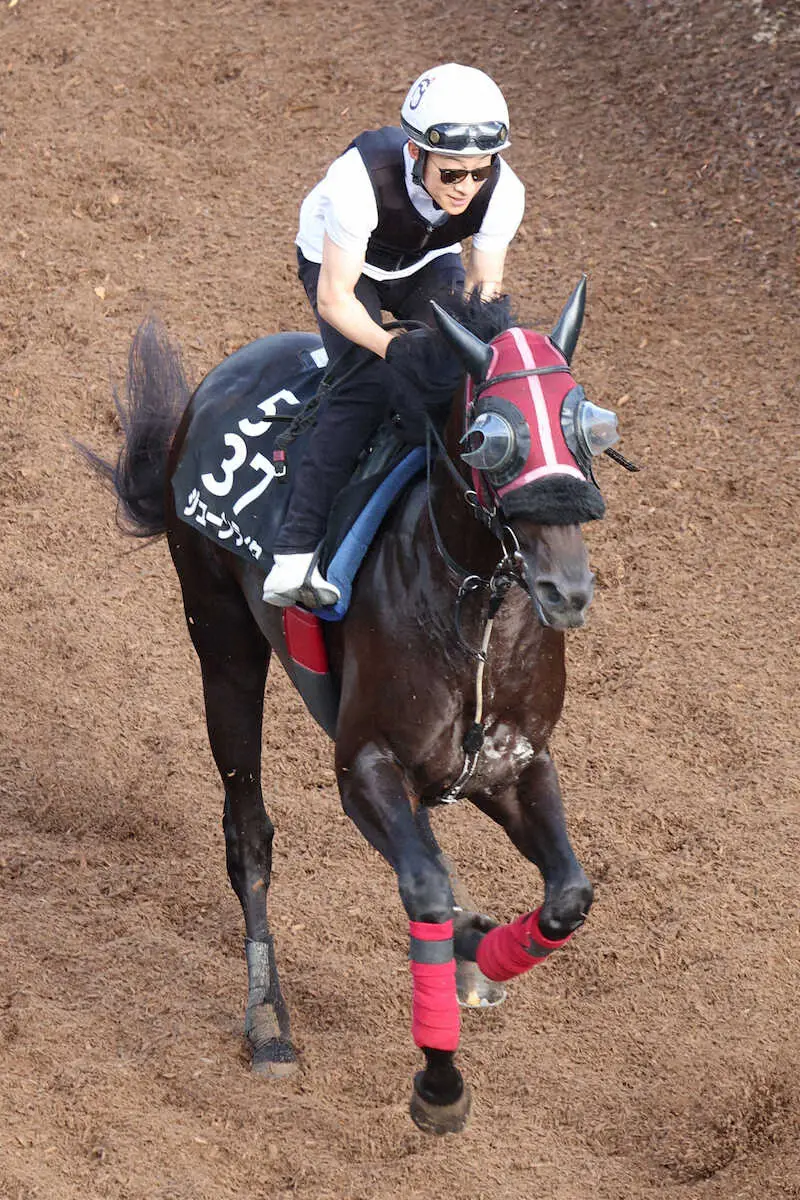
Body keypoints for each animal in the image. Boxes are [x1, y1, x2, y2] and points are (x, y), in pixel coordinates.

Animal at [89, 280, 623, 1132]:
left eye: (588, 427)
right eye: (487, 438)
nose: (567, 590)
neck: (475, 617)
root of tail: (223, 375)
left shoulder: (514, 763)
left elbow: (566, 895)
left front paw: (479, 955)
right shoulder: (365, 765)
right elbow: (424, 889)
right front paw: (439, 1080)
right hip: (223, 642)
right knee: (249, 835)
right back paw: (269, 1023)